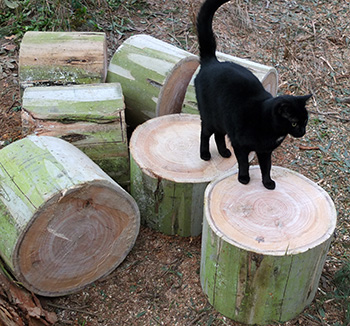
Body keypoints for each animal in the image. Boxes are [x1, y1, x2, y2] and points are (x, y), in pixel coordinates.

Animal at [194, 0, 312, 190]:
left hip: (223, 120)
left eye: (305, 120)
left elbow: (267, 167)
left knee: (219, 135)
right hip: (211, 117)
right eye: (294, 122)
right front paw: (244, 178)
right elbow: (243, 162)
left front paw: (267, 183)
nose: (302, 131)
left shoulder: (265, 151)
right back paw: (205, 154)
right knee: (205, 132)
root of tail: (212, 61)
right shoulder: (240, 144)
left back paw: (224, 152)